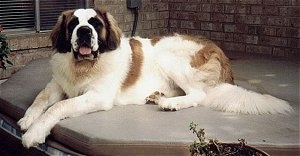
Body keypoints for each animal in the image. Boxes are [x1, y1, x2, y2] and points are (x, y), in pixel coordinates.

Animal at [17, 8, 292, 147]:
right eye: (73, 24)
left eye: (95, 24)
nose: (84, 31)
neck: (83, 66)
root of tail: (219, 52)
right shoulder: (57, 84)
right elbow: (41, 99)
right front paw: (28, 119)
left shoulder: (97, 96)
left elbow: (59, 107)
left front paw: (34, 133)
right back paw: (159, 96)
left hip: (167, 55)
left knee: (199, 95)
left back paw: (170, 103)